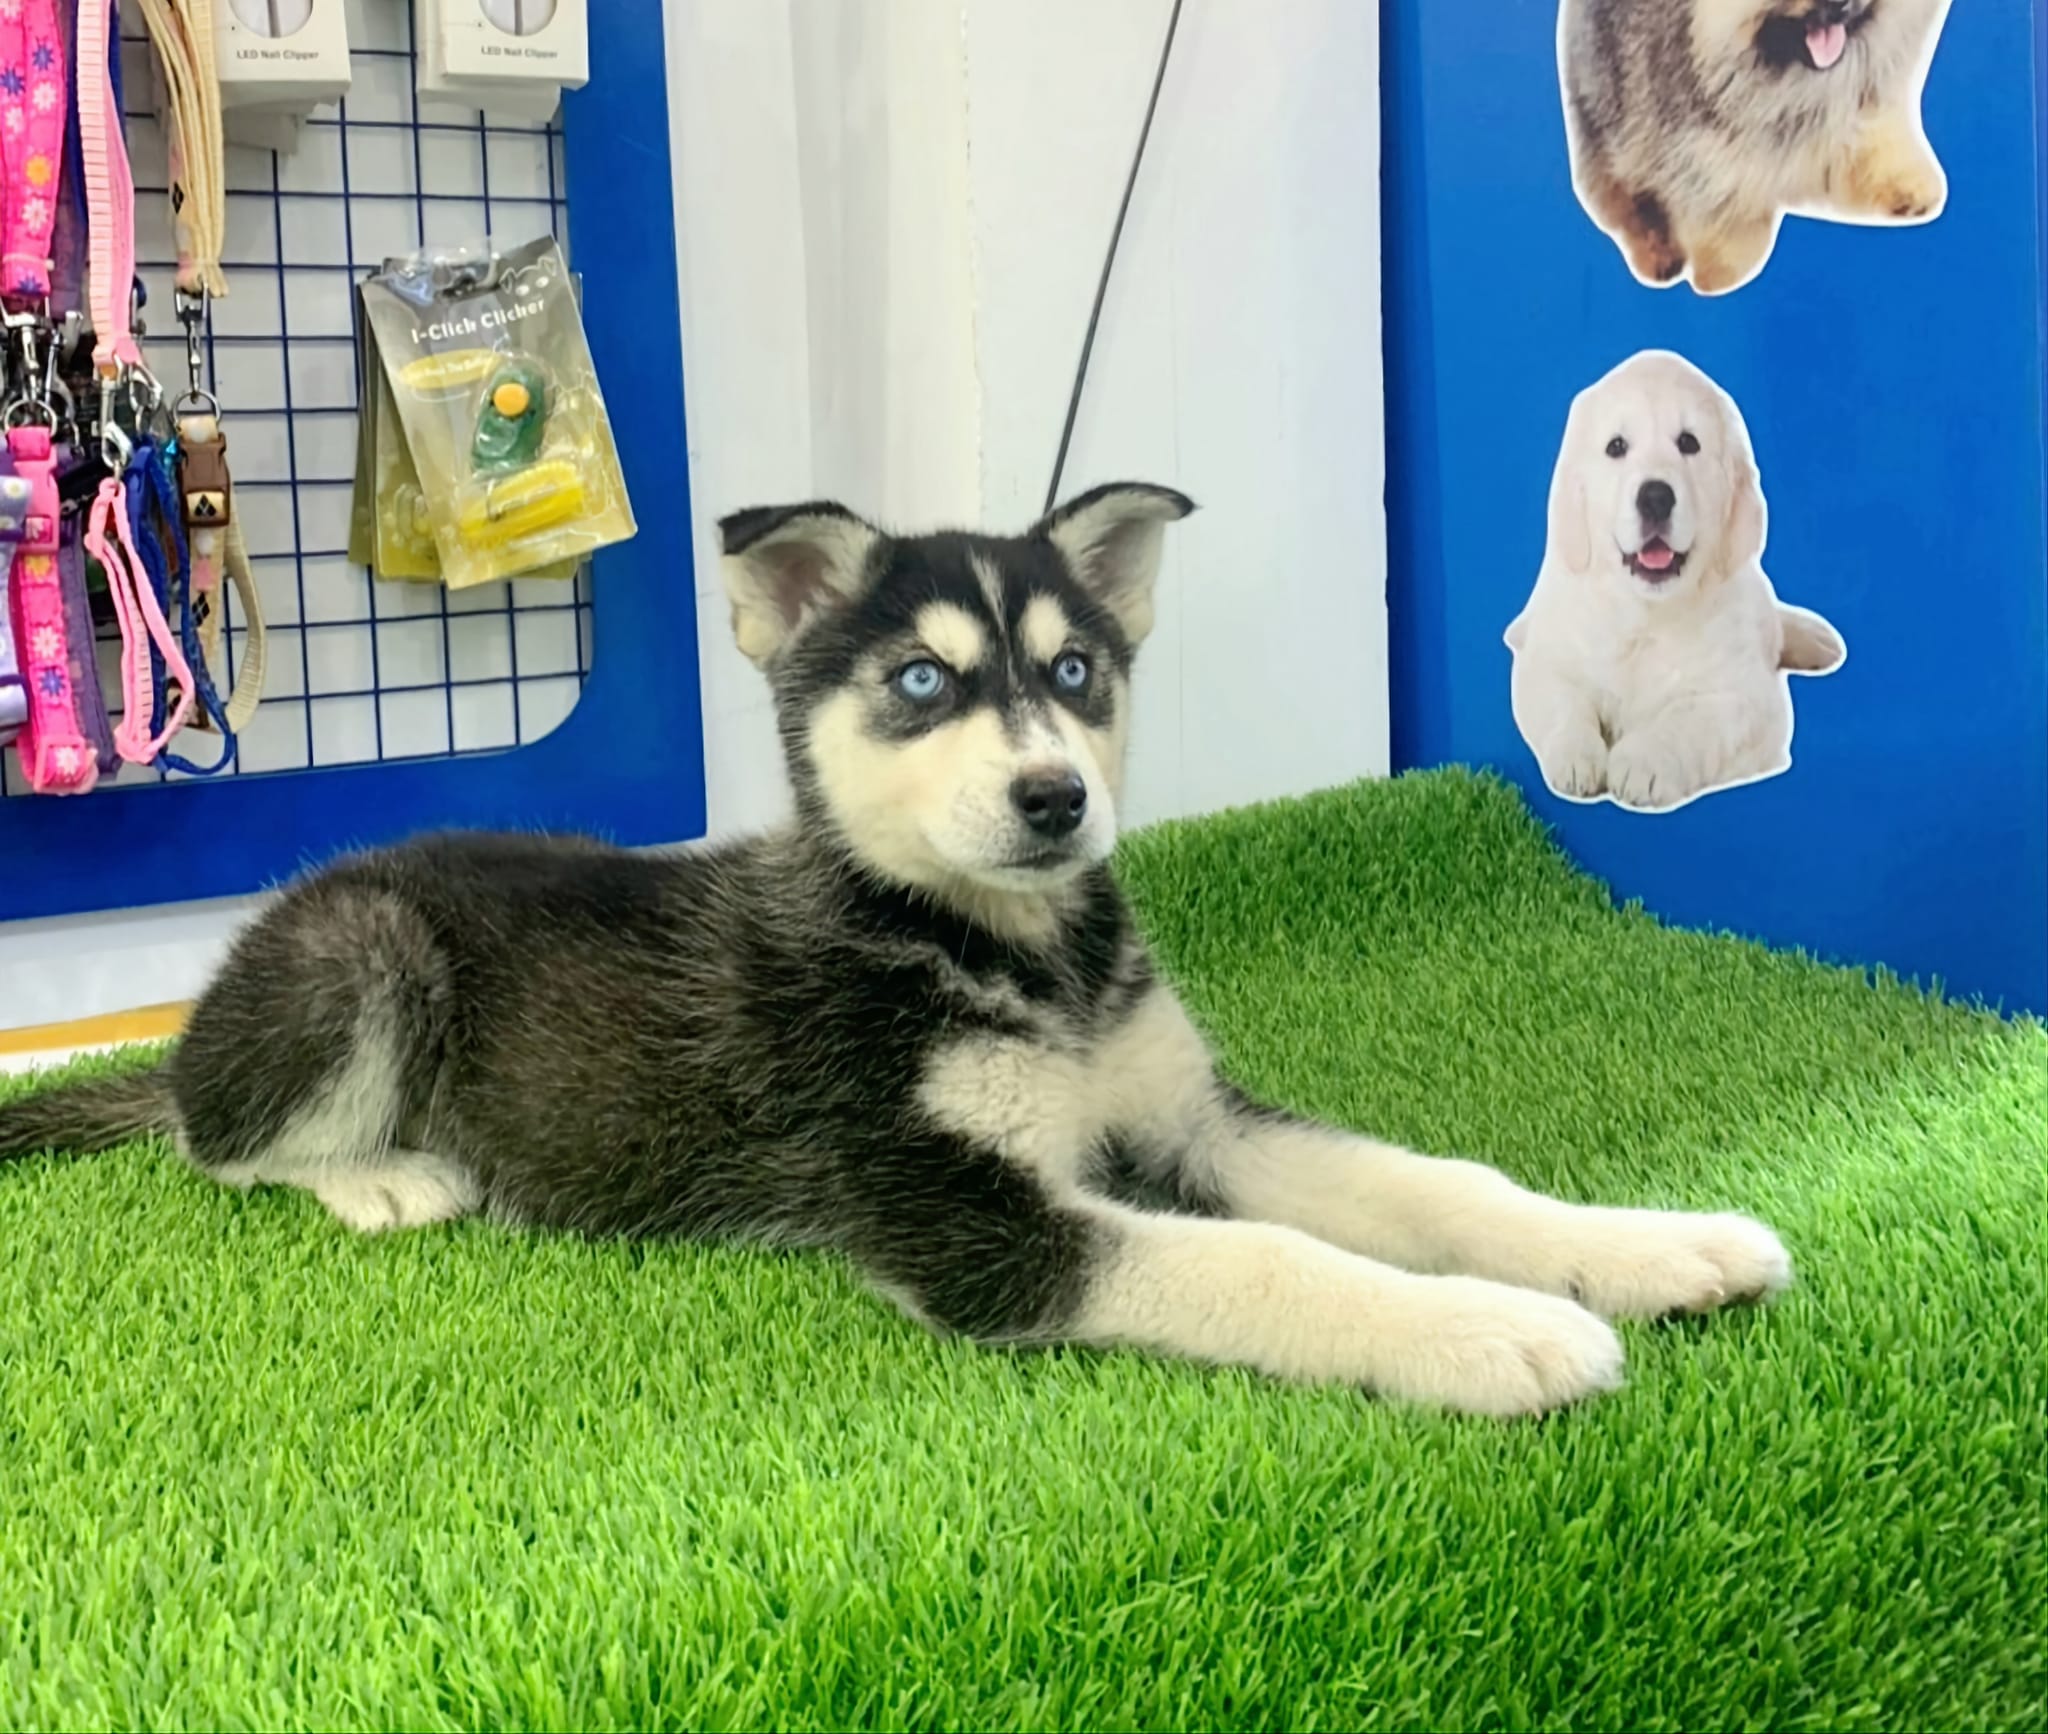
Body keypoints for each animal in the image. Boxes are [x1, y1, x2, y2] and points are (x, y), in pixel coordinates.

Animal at [0, 482, 1794, 1417]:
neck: (1016, 961)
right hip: (360, 950)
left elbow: (1432, 1184)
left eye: (1075, 671)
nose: (1056, 794)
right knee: (214, 1139)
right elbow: (1271, 1263)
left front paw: (1639, 1246)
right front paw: (1489, 1334)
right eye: (921, 684)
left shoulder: (1190, 1116)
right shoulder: (965, 1216)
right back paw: (378, 1172)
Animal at [1506, 351, 1846, 811]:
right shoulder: (1547, 663)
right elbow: (1565, 706)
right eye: (1616, 447)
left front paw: (1642, 763)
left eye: (1689, 443)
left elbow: (1687, 718)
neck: (1647, 615)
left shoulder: (1746, 698)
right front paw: (1576, 758)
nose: (1655, 497)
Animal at [1560, 0, 1952, 294]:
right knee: (1631, 199)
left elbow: (1872, 143)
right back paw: (1658, 255)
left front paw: (1908, 187)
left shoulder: (1852, 108)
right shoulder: (1699, 151)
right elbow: (1724, 211)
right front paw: (1721, 275)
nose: (1838, 3)